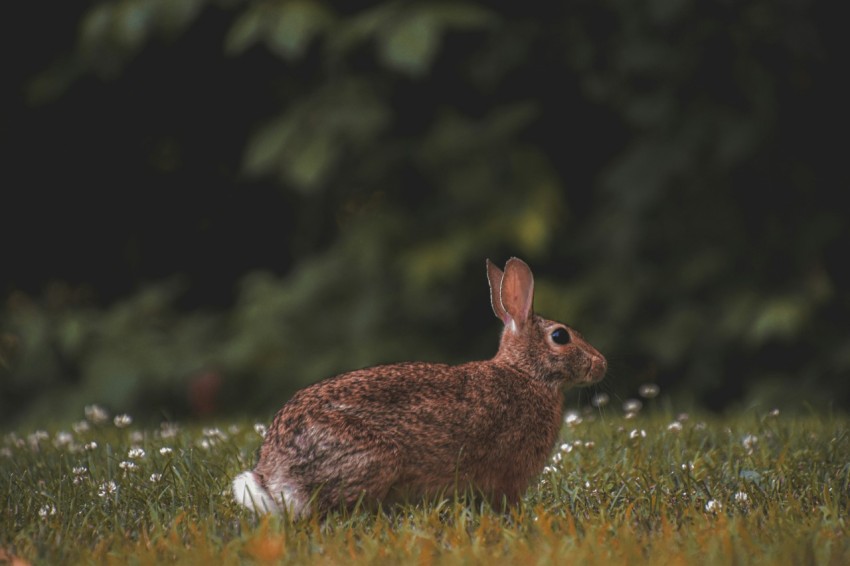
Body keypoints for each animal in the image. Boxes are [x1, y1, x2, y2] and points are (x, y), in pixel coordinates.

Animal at [232, 257, 607, 518]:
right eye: (560, 336)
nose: (602, 363)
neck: (526, 373)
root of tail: (275, 477)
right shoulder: (508, 474)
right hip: (374, 460)